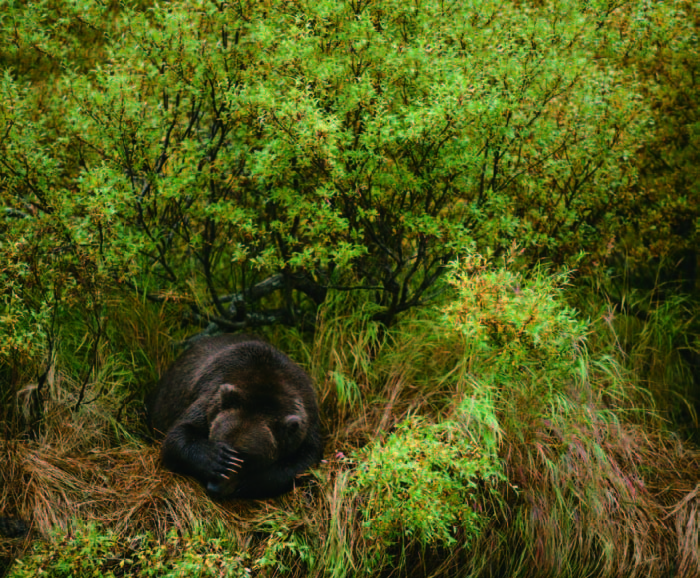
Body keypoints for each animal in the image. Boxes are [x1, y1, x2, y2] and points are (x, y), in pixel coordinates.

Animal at [149, 336, 324, 498]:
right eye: (218, 441)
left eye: (246, 456)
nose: (215, 487)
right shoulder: (211, 398)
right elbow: (178, 435)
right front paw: (217, 459)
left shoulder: (306, 422)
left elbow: (305, 460)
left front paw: (250, 483)